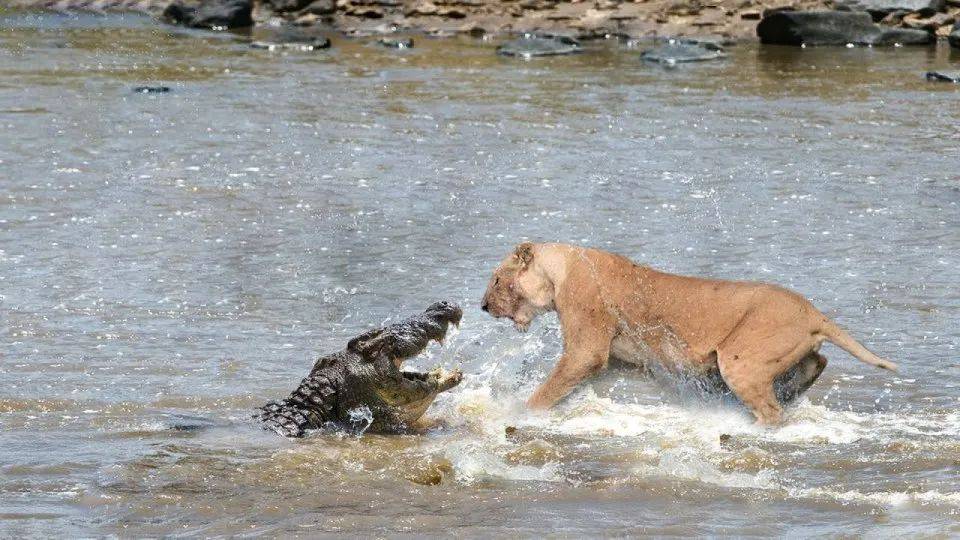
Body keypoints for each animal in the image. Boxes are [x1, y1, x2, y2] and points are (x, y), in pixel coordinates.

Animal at [484, 243, 896, 424]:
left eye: (497, 278)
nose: (483, 305)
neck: (562, 266)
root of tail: (813, 311)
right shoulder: (612, 359)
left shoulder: (587, 348)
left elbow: (546, 390)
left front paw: (517, 413)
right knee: (818, 361)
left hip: (740, 362)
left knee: (772, 411)